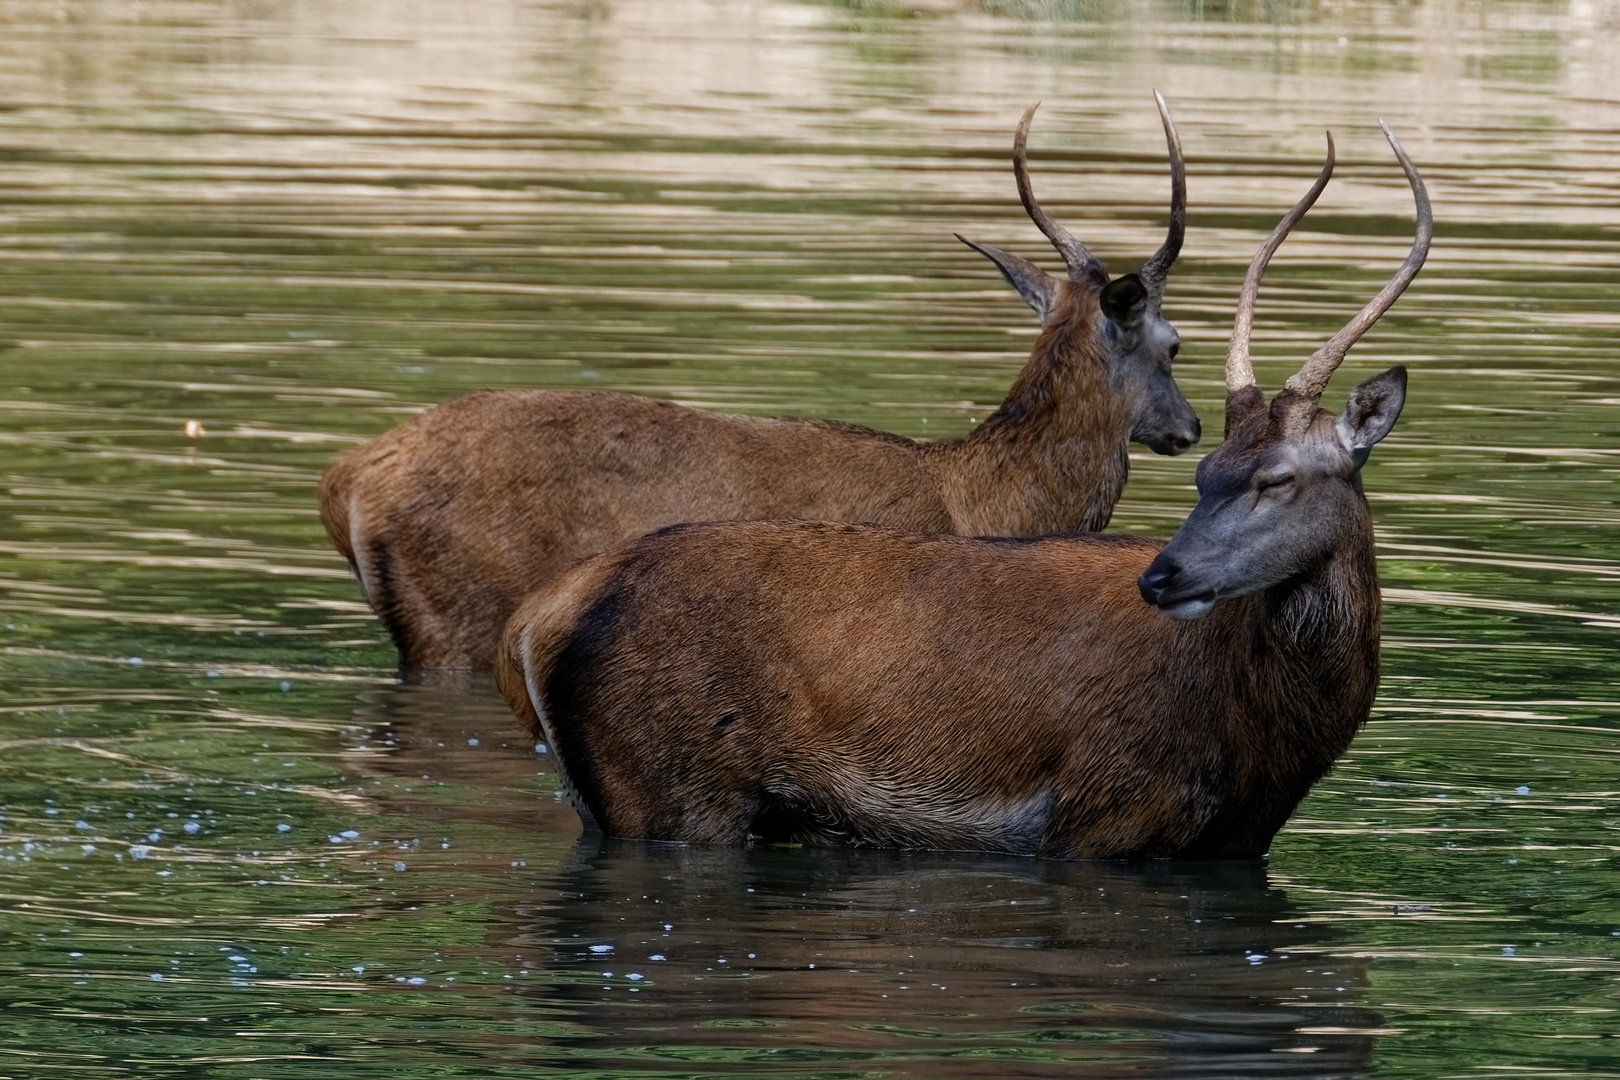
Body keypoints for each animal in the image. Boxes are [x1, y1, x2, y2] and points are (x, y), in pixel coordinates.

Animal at [492, 120, 1432, 861]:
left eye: (1275, 475)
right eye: (1206, 476)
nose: (1162, 576)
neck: (1267, 742)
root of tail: (535, 622)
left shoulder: (1234, 843)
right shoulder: (1100, 815)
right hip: (668, 792)